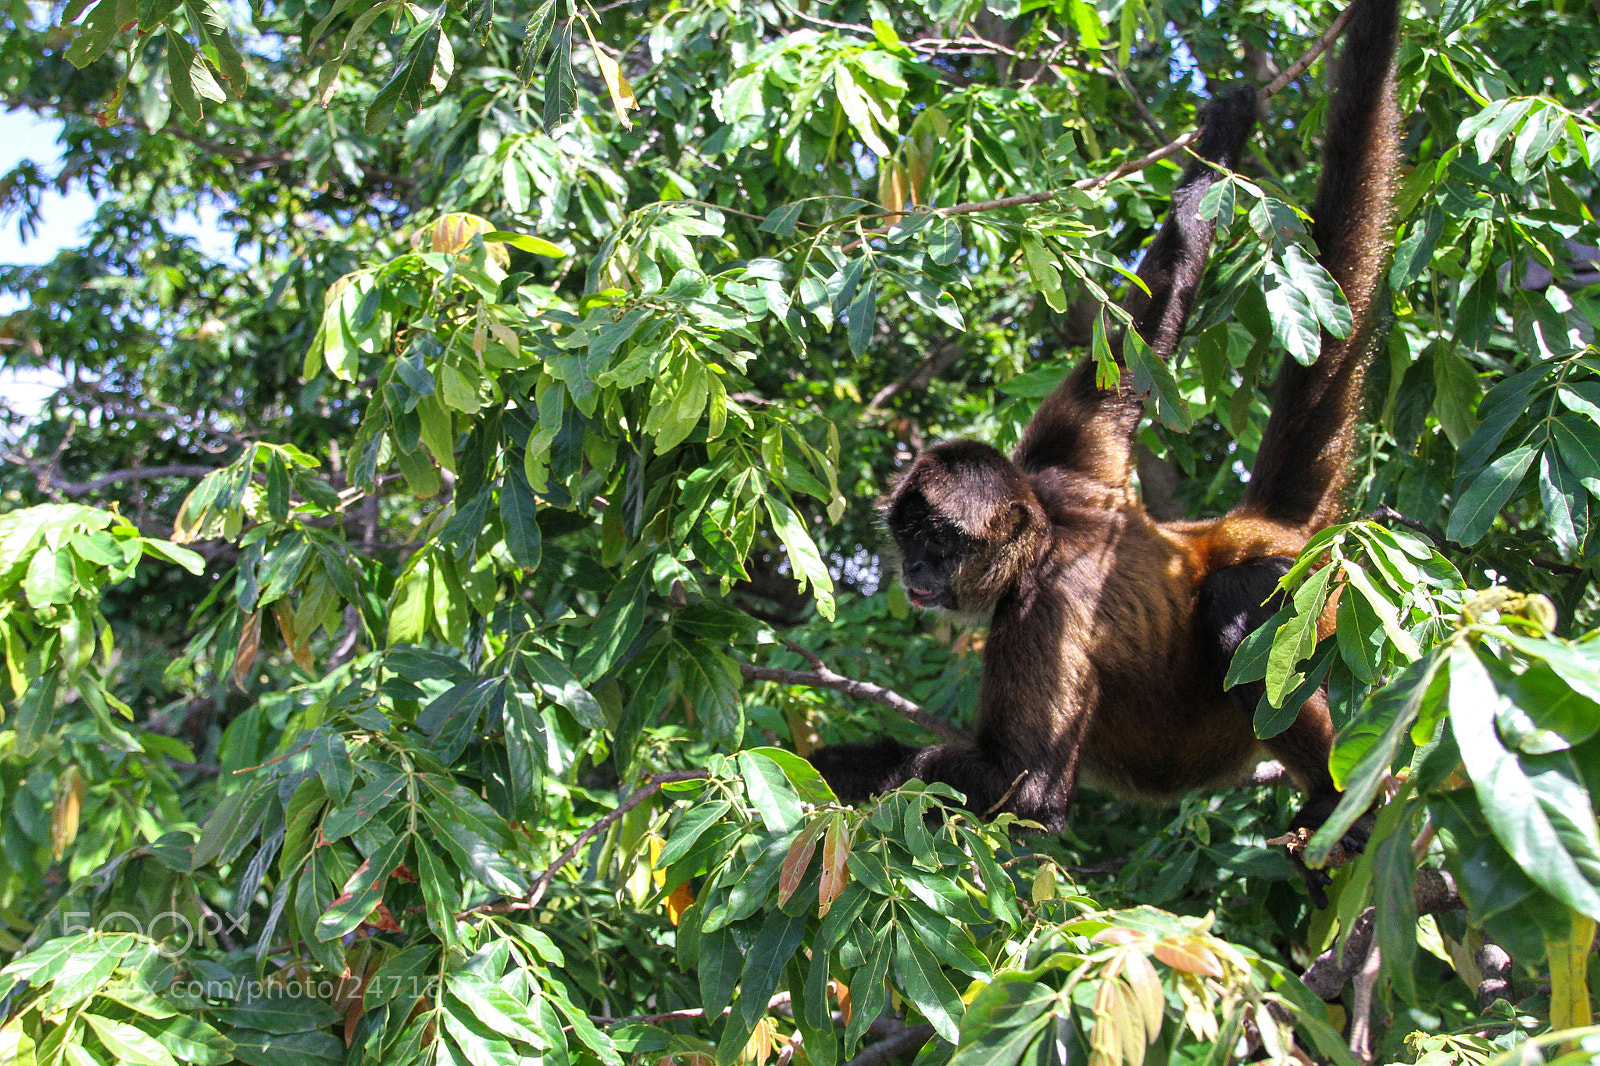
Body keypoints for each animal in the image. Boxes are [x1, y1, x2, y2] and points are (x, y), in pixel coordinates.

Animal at [809, 0, 1401, 902]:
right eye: (909, 536)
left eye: (943, 541)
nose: (916, 571)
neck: (1049, 530)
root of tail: (1245, 531)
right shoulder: (1064, 455)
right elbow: (1129, 348)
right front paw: (1221, 141)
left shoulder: (1042, 610)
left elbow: (1031, 790)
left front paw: (834, 766)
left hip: (1301, 600)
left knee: (1236, 609)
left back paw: (1340, 803)